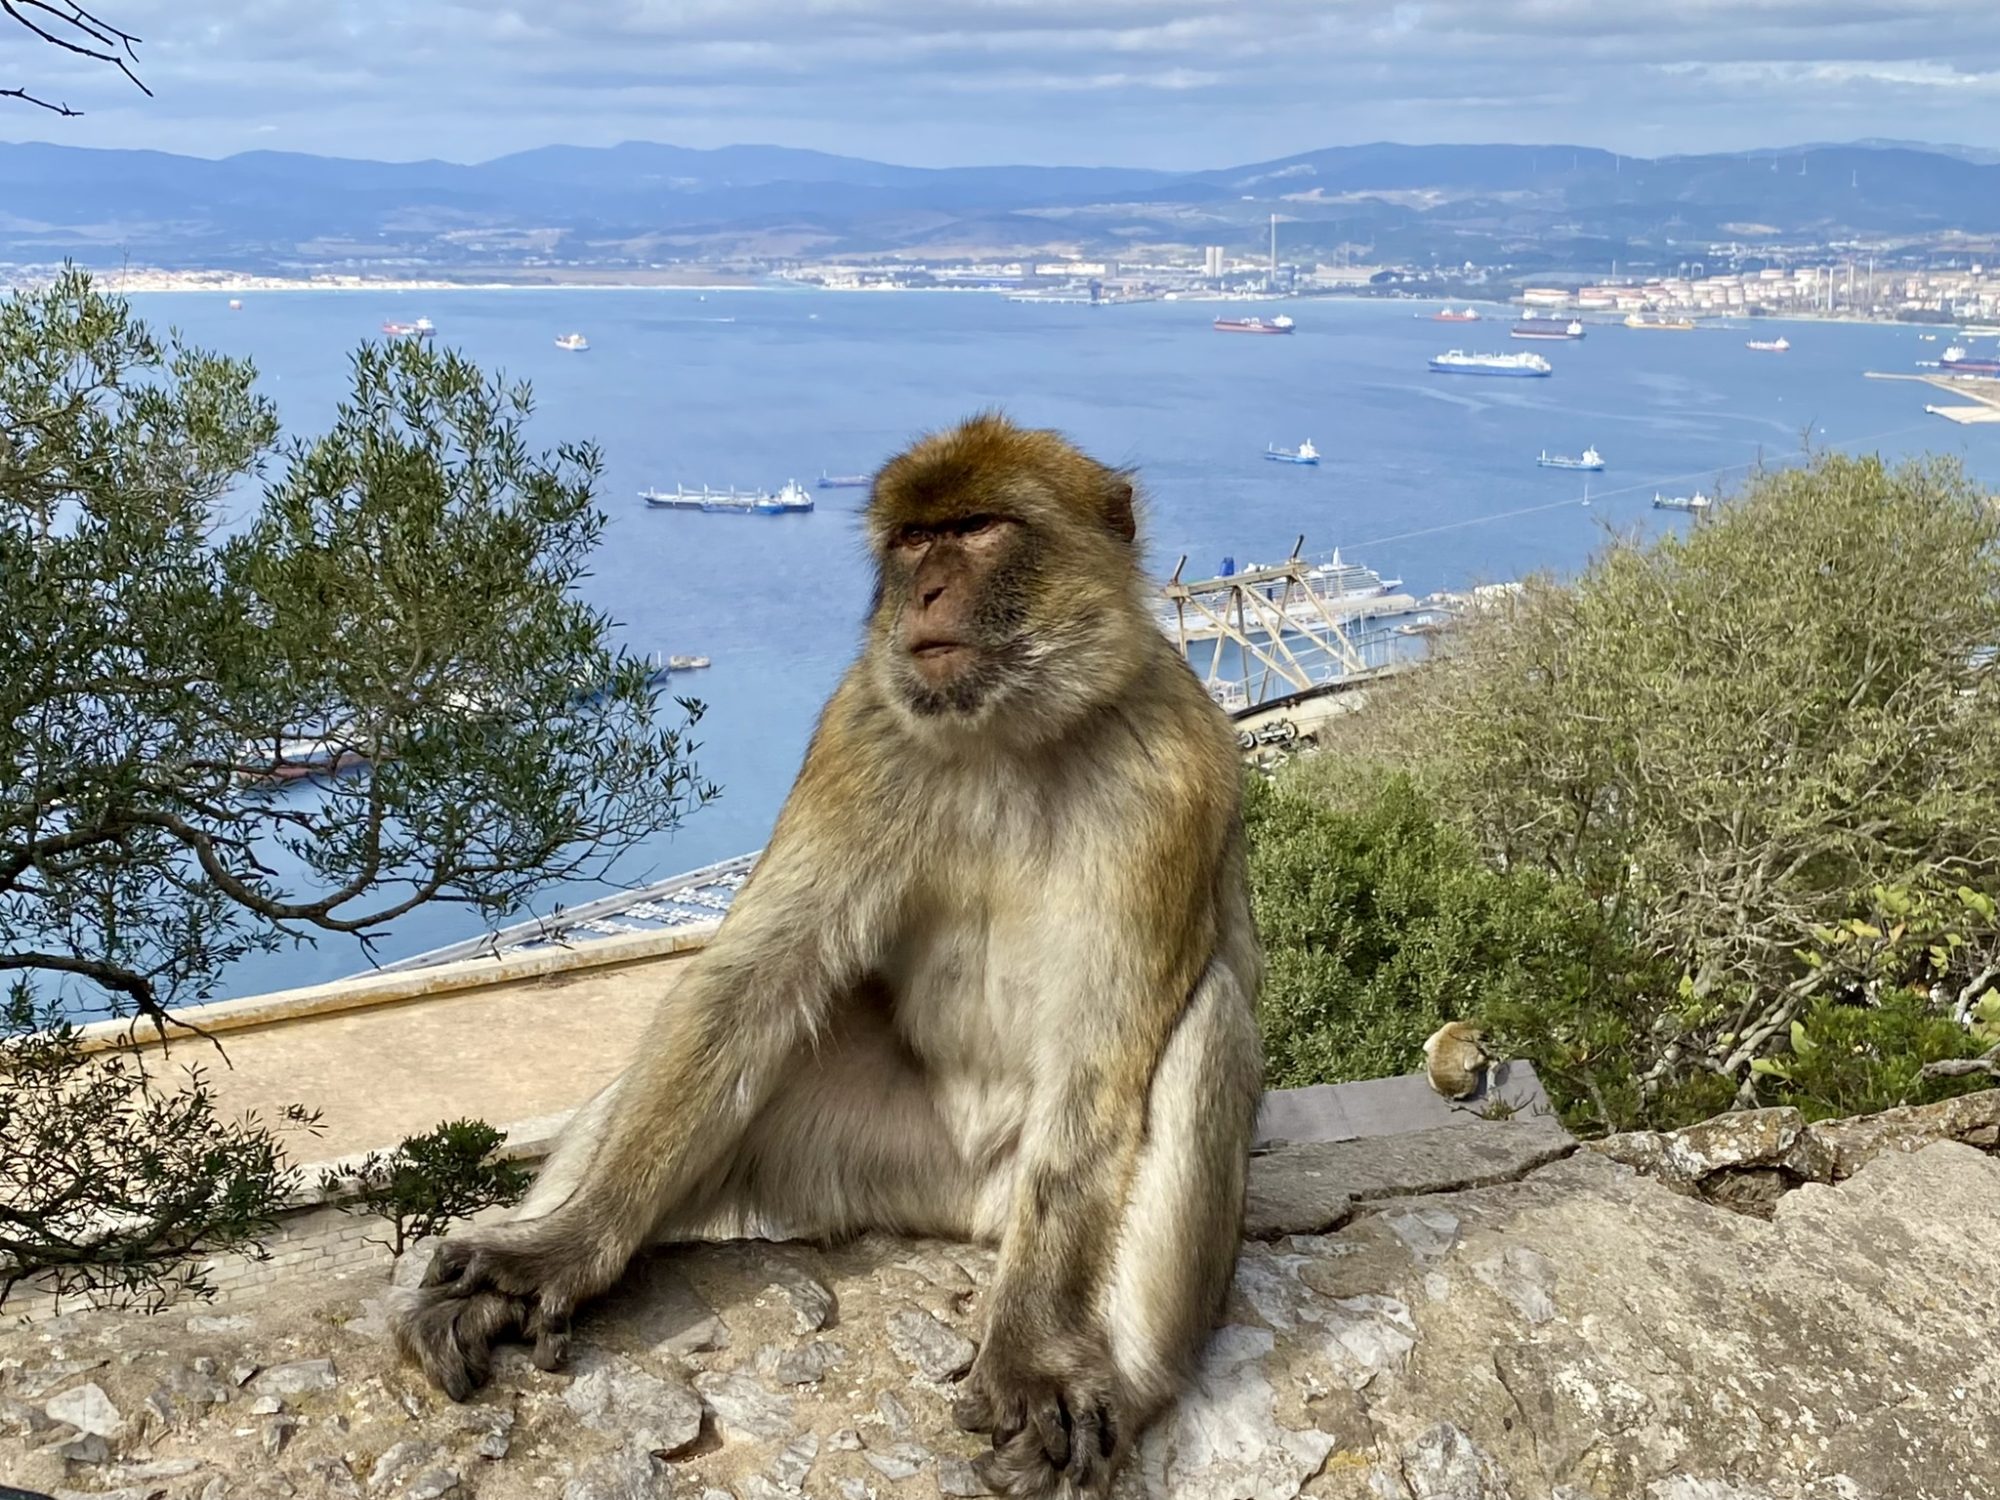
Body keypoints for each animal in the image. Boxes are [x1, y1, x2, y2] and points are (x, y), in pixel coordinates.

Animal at [390, 412, 1264, 1497]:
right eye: (911, 541)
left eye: (978, 529)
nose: (923, 593)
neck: (1009, 733)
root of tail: (965, 1206)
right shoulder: (864, 729)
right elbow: (742, 990)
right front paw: (560, 1251)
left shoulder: (1171, 773)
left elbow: (1098, 1072)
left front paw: (1028, 1356)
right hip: (866, 1154)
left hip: (1012, 1200)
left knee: (1205, 1023)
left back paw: (1123, 1382)